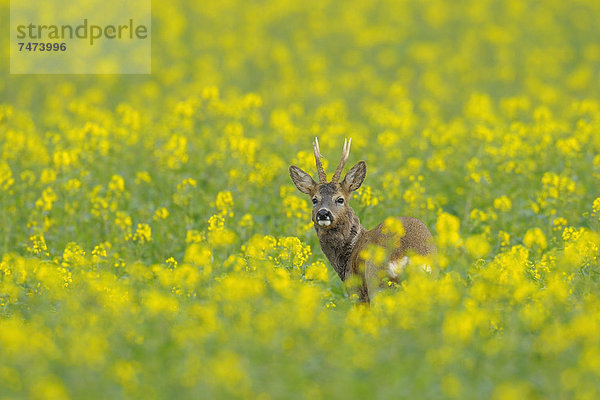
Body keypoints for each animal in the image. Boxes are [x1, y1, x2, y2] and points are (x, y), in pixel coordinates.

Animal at [288, 139, 434, 302]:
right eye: (314, 199)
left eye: (340, 199)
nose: (323, 213)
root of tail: (404, 258)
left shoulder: (355, 291)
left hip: (376, 283)